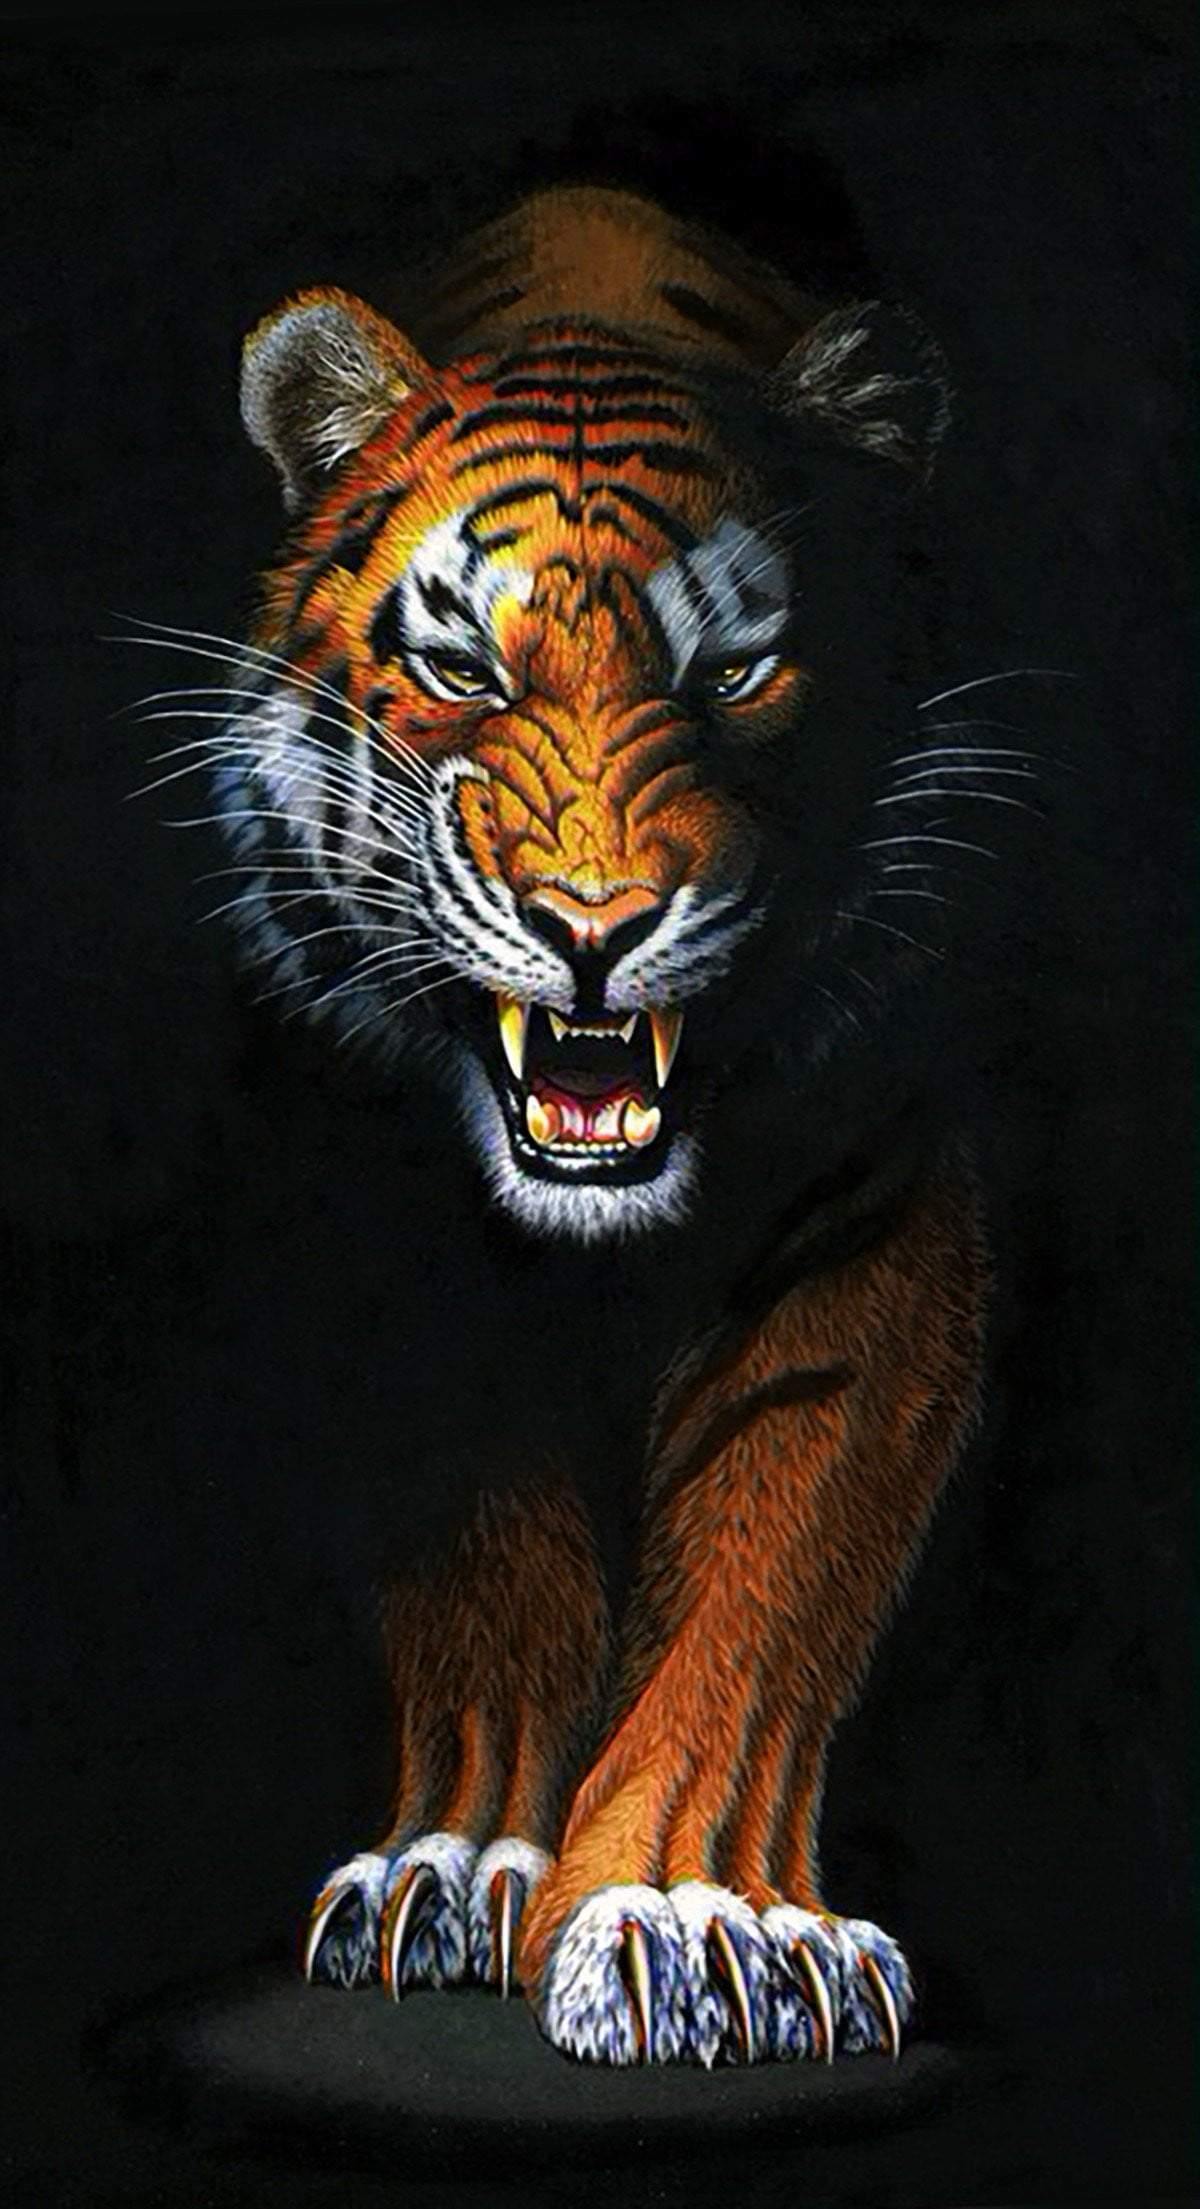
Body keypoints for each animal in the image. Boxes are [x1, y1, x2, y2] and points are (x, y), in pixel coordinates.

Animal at [187, 185, 989, 2066]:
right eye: (466, 667)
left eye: (739, 672)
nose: (595, 922)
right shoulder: (382, 1219)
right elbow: (487, 1567)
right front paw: (461, 1863)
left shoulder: (877, 1204)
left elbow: (769, 1576)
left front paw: (701, 1916)